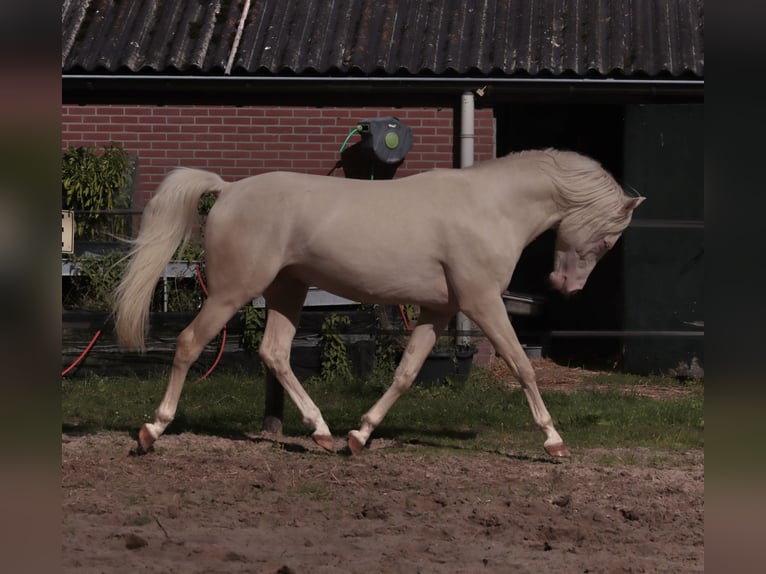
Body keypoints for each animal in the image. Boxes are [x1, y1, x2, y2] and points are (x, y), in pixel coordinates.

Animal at [112, 148, 640, 460]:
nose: (566, 286)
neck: (489, 208)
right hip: (232, 292)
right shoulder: (482, 302)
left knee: (275, 353)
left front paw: (360, 435)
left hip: (287, 291)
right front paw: (554, 441)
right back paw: (152, 430)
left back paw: (323, 432)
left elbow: (406, 372)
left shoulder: (439, 311)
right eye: (608, 239)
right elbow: (520, 365)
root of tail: (229, 189)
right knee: (188, 343)